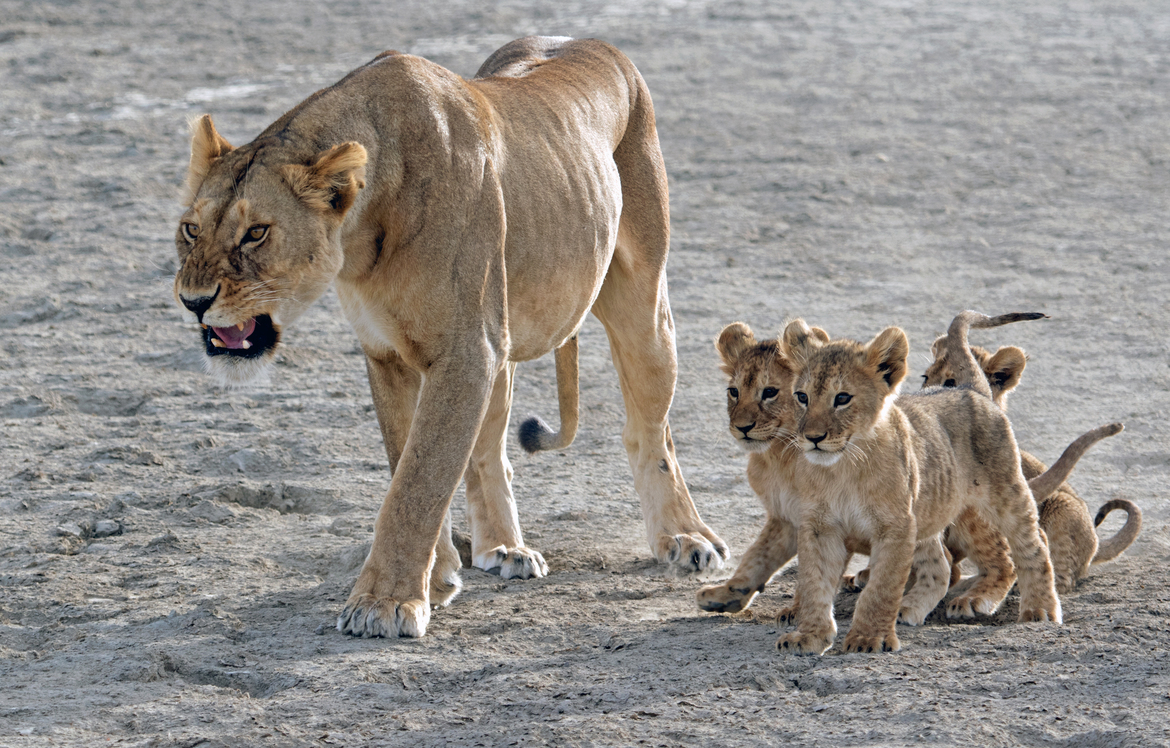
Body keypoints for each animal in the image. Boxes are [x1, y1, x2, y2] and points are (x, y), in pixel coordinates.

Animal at [173, 37, 728, 639]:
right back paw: (505, 548)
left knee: (651, 430)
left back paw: (684, 538)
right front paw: (434, 578)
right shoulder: (390, 354)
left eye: (256, 233)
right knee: (491, 449)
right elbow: (411, 465)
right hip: (505, 340)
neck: (362, 235)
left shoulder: (466, 351)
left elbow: (418, 481)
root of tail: (591, 42)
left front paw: (384, 602)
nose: (193, 301)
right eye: (191, 229)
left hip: (642, 304)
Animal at [771, 311, 1061, 655]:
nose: (813, 438)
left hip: (1005, 492)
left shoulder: (895, 526)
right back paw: (910, 608)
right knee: (940, 566)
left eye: (842, 398)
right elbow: (814, 583)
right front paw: (810, 637)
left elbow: (881, 586)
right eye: (802, 397)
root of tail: (971, 388)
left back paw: (1040, 610)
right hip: (927, 509)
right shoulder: (819, 526)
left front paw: (869, 639)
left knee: (1033, 546)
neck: (843, 468)